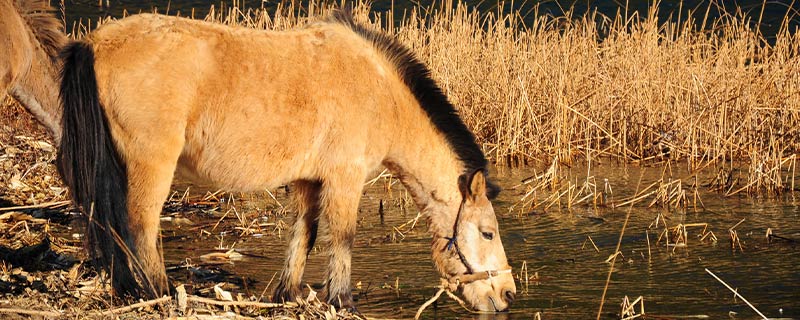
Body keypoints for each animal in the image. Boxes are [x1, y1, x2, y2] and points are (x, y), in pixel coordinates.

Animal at [53, 8, 516, 312]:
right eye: (488, 233)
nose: (508, 294)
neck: (379, 89)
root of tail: (94, 43)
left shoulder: (310, 180)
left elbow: (304, 235)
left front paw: (288, 295)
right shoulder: (345, 178)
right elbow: (342, 237)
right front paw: (342, 301)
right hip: (151, 165)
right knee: (140, 227)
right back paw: (159, 293)